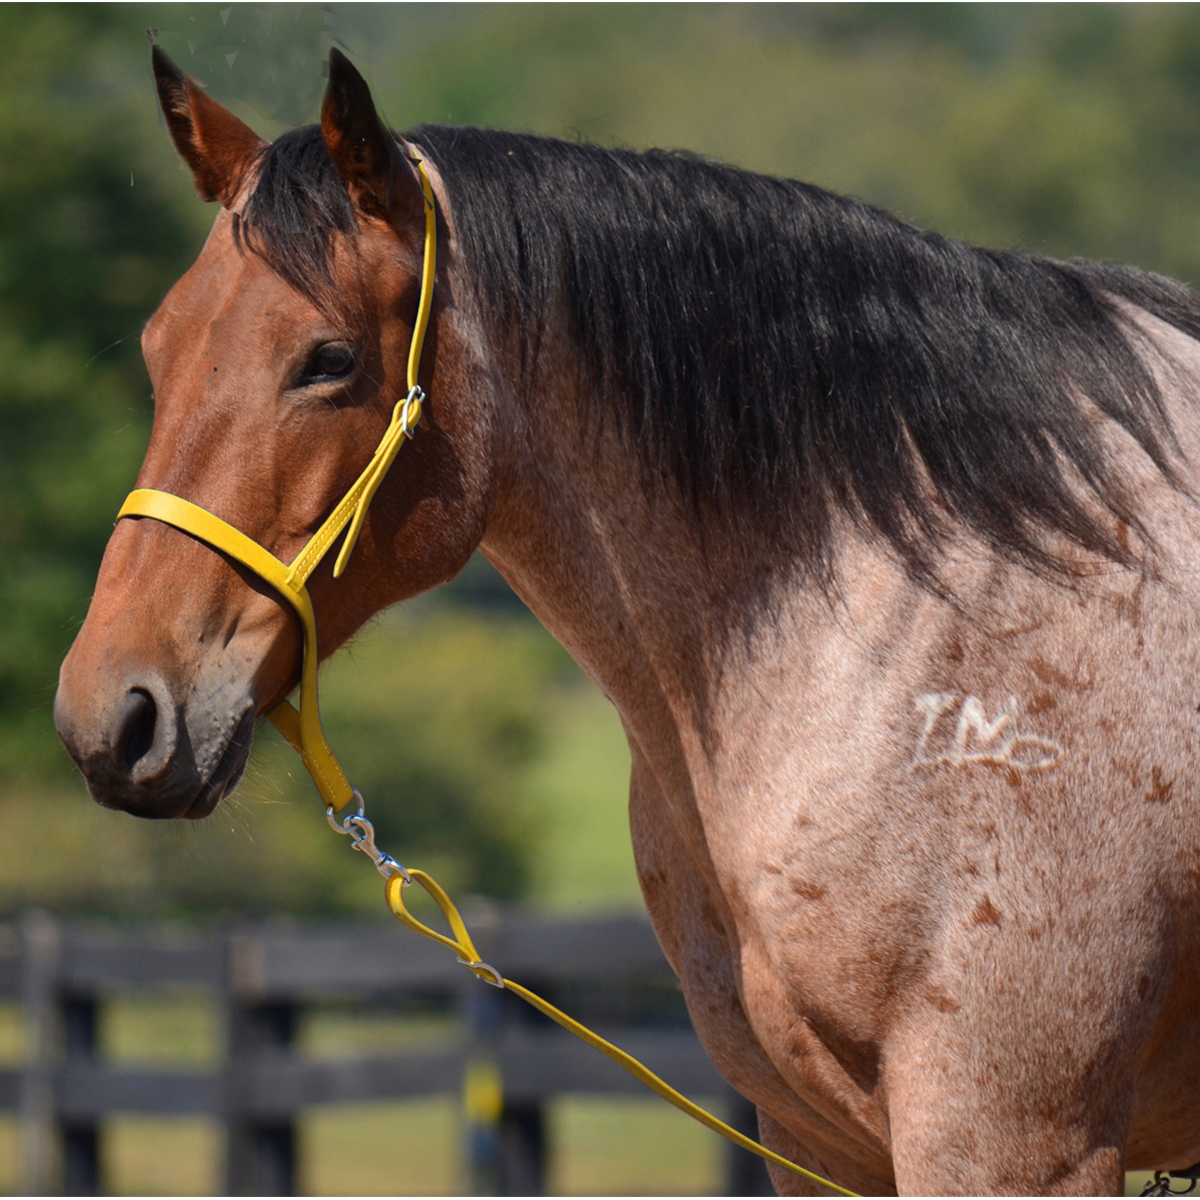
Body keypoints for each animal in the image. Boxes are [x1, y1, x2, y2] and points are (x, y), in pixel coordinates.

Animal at [53, 46, 1200, 1195]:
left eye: (327, 359)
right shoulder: (814, 1144)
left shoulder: (1010, 1140)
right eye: (157, 350)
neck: (920, 643)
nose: (112, 714)